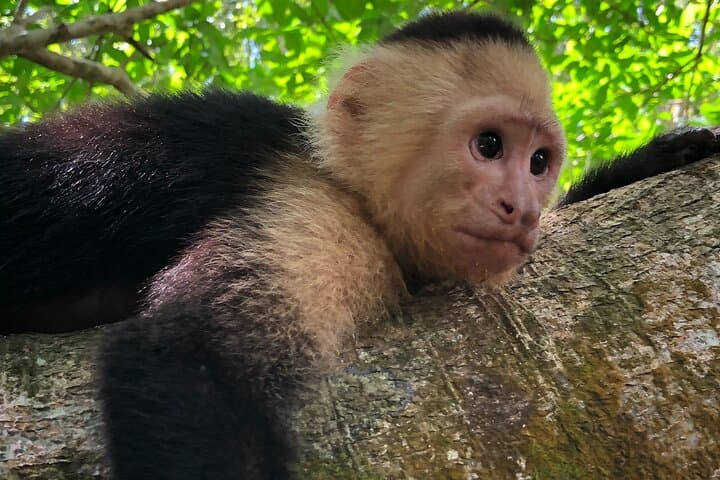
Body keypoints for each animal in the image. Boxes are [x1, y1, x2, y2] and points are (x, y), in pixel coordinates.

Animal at [1, 11, 719, 480]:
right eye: (489, 146)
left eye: (540, 162)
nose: (523, 209)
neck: (349, 189)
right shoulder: (319, 218)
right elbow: (185, 363)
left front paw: (650, 161)